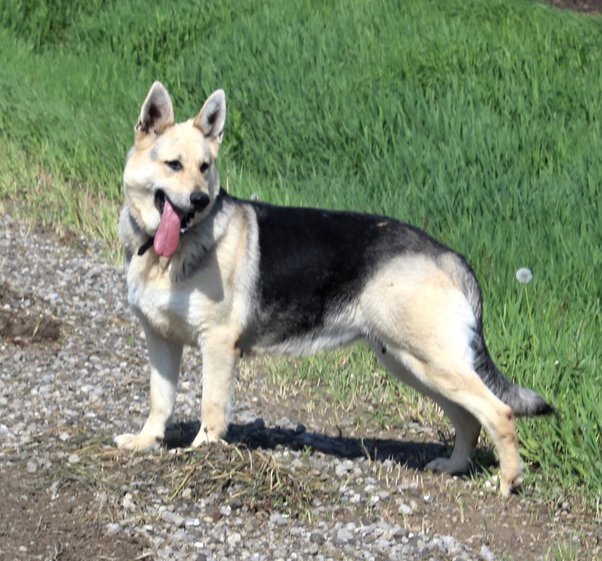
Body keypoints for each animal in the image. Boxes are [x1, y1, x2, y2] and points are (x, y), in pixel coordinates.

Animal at [115, 80, 552, 494]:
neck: (170, 252)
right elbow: (160, 399)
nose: (200, 200)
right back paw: (456, 466)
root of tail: (451, 256)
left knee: (498, 412)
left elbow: (212, 407)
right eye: (174, 165)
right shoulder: (160, 341)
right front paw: (147, 442)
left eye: (205, 167)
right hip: (413, 364)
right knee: (468, 418)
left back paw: (508, 482)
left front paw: (203, 452)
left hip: (432, 362)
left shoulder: (219, 345)